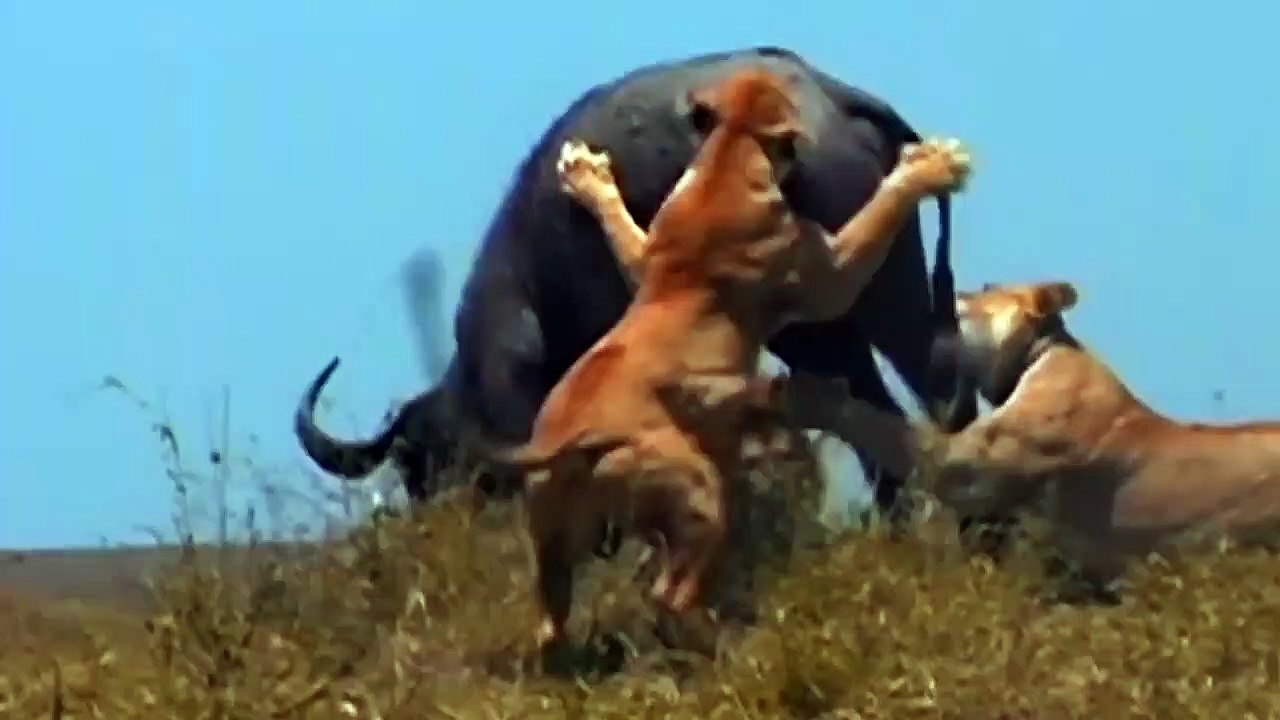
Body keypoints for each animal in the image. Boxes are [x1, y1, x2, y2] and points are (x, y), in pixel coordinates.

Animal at [294, 45, 978, 522]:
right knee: (878, 405)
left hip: (877, 296)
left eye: (425, 464)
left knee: (935, 383)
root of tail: (836, 96)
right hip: (829, 327)